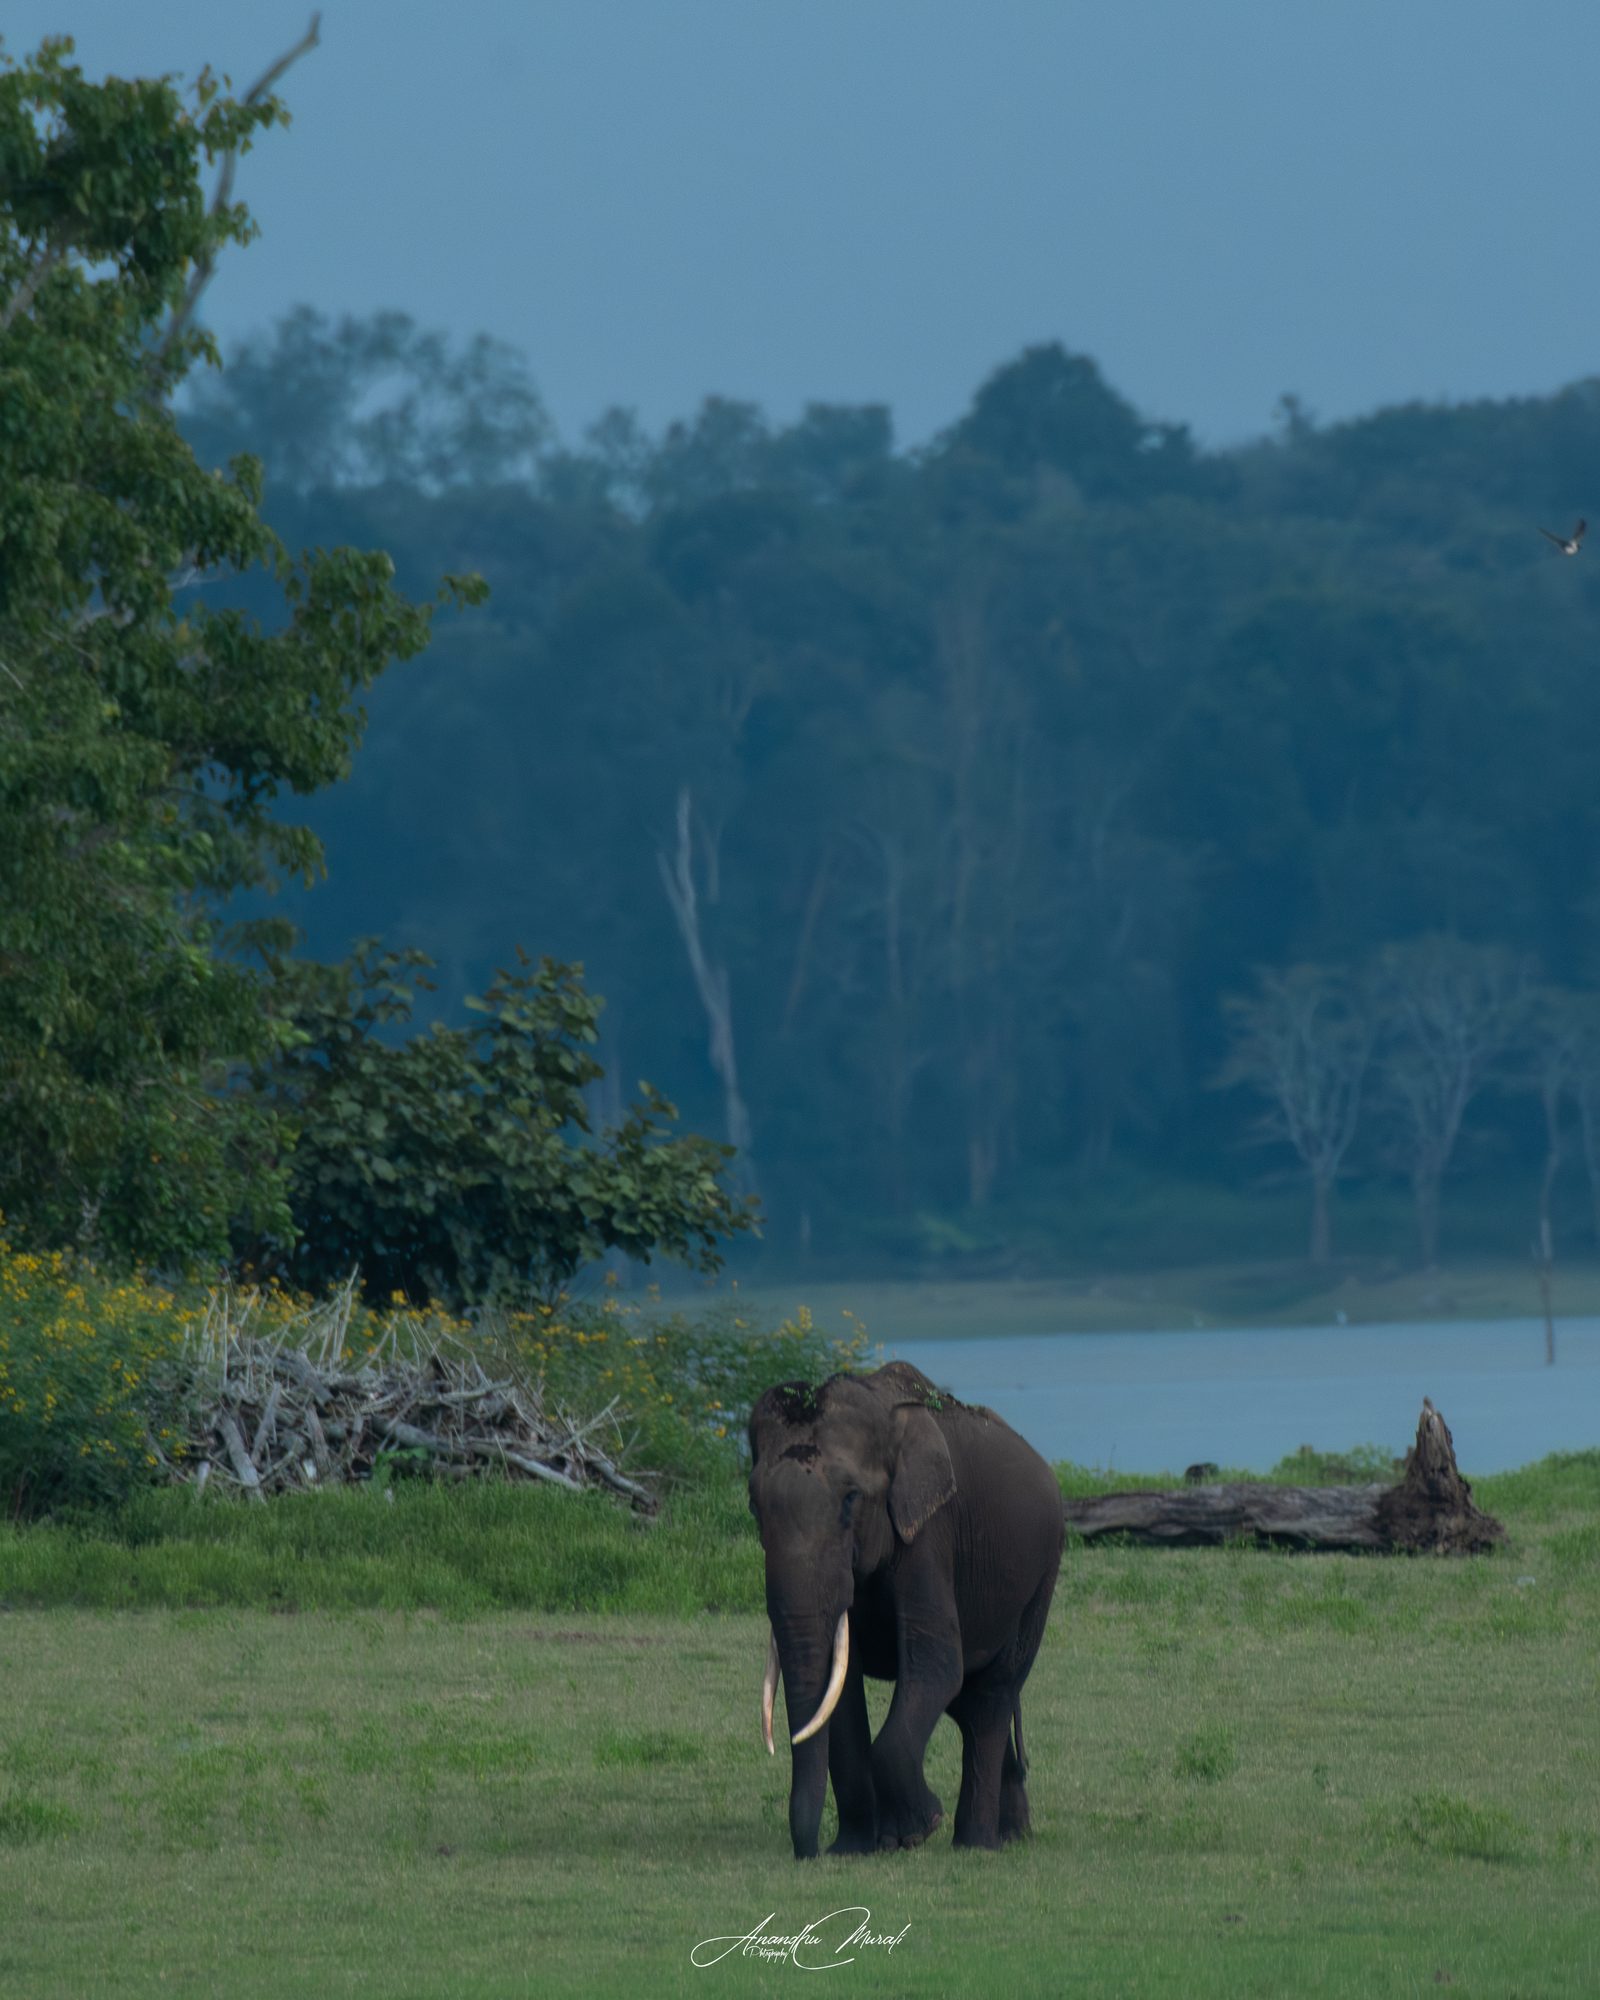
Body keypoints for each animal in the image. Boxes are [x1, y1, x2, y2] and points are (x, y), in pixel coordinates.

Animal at [747, 1359, 1064, 1860]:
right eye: (753, 1505)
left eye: (851, 1499)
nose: (809, 1852)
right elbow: (843, 1691)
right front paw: (854, 1849)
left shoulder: (930, 1533)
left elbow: (934, 1664)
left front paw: (916, 1831)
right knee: (968, 1700)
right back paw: (1012, 1833)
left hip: (1041, 1579)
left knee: (990, 1696)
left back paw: (977, 1844)